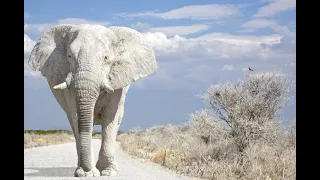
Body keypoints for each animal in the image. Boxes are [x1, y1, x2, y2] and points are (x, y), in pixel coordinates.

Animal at [27, 24, 158, 177]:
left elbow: (110, 117)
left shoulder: (117, 83)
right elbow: (77, 118)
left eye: (106, 58)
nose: (91, 170)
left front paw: (108, 173)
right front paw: (86, 174)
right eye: (69, 56)